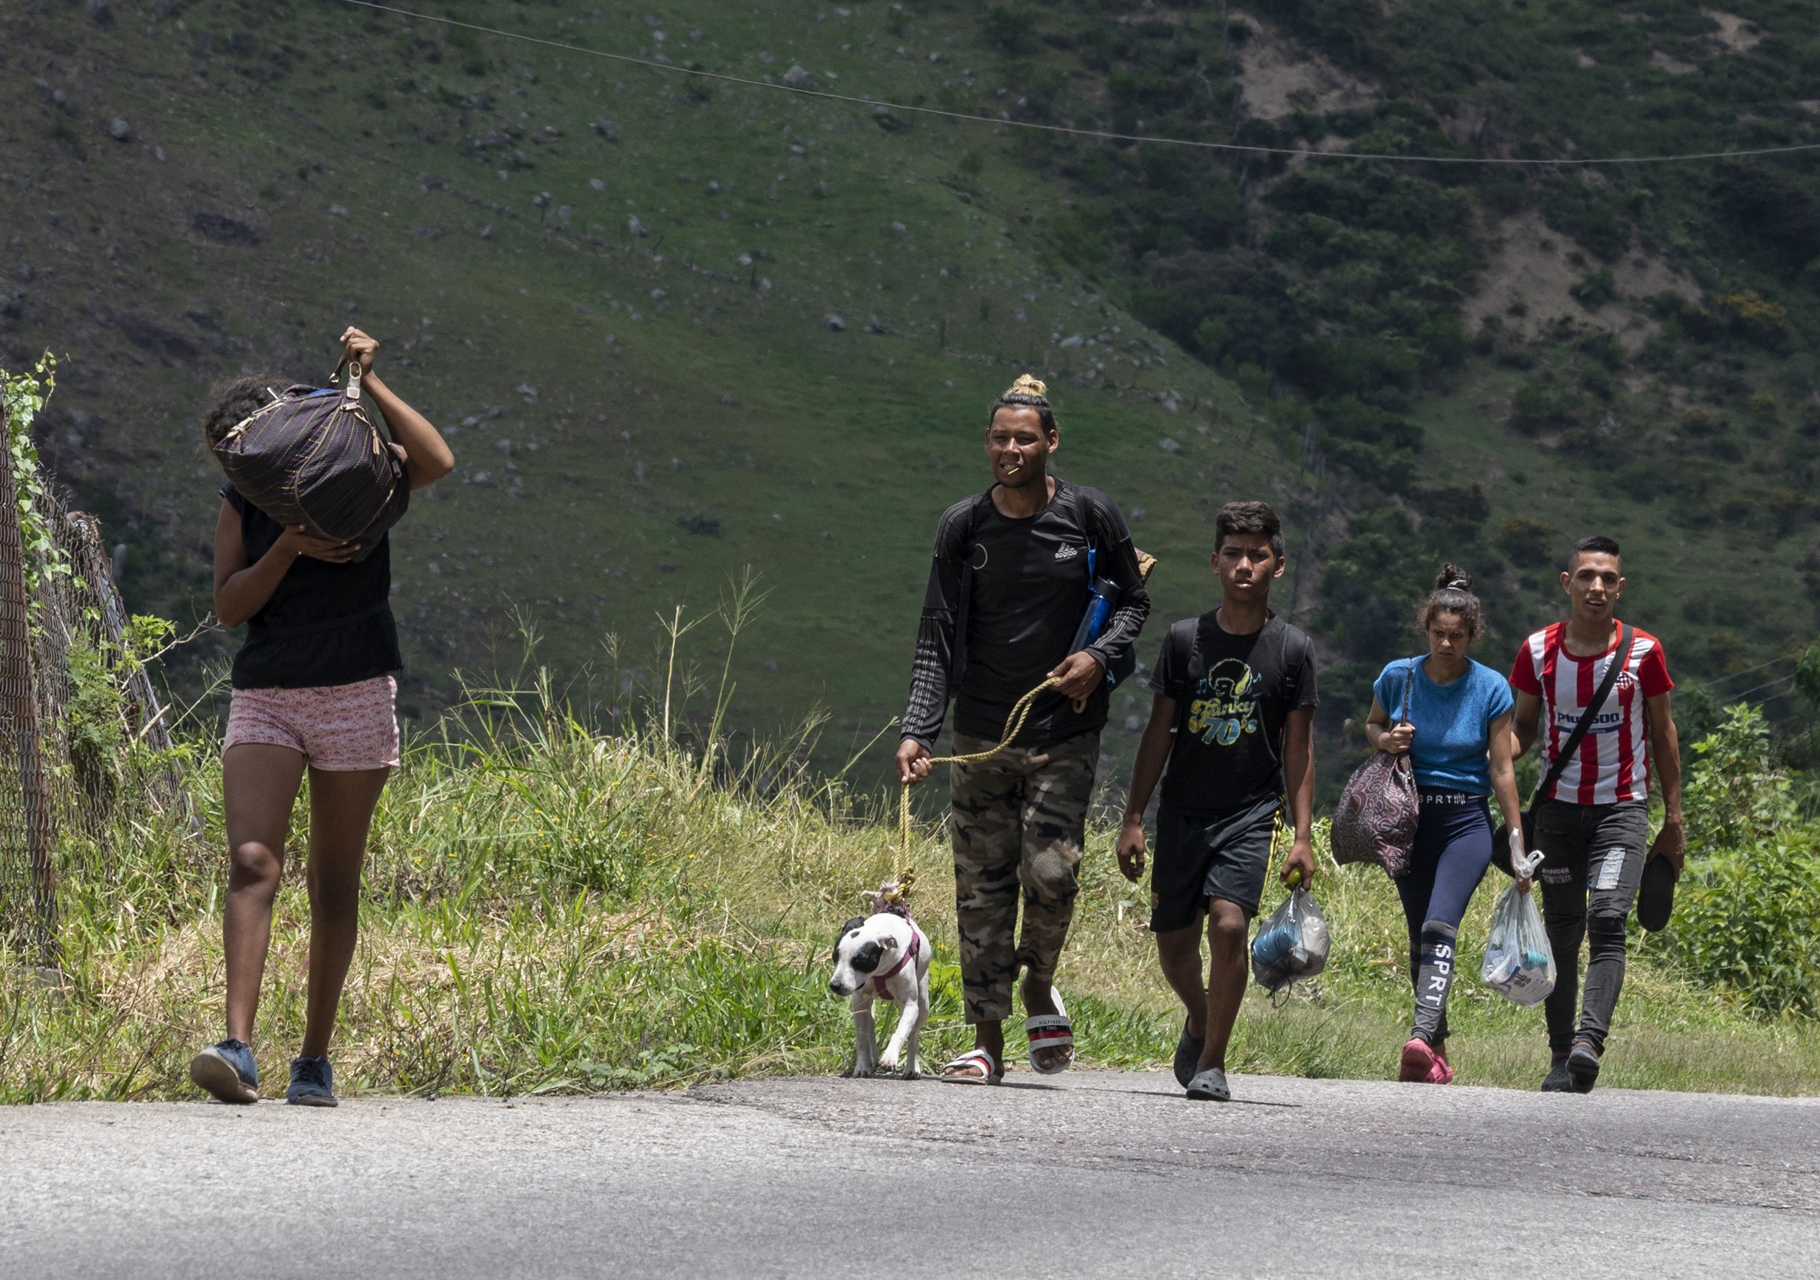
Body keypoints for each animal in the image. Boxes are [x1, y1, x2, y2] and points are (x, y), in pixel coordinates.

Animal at [829, 903, 931, 1077]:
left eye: (861, 961)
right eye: (835, 957)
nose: (835, 985)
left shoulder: (910, 1005)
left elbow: (901, 1032)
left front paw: (890, 1057)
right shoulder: (859, 1002)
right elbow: (862, 1039)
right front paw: (862, 1066)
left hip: (923, 1003)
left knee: (914, 1034)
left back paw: (911, 1067)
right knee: (871, 1024)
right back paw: (873, 1058)